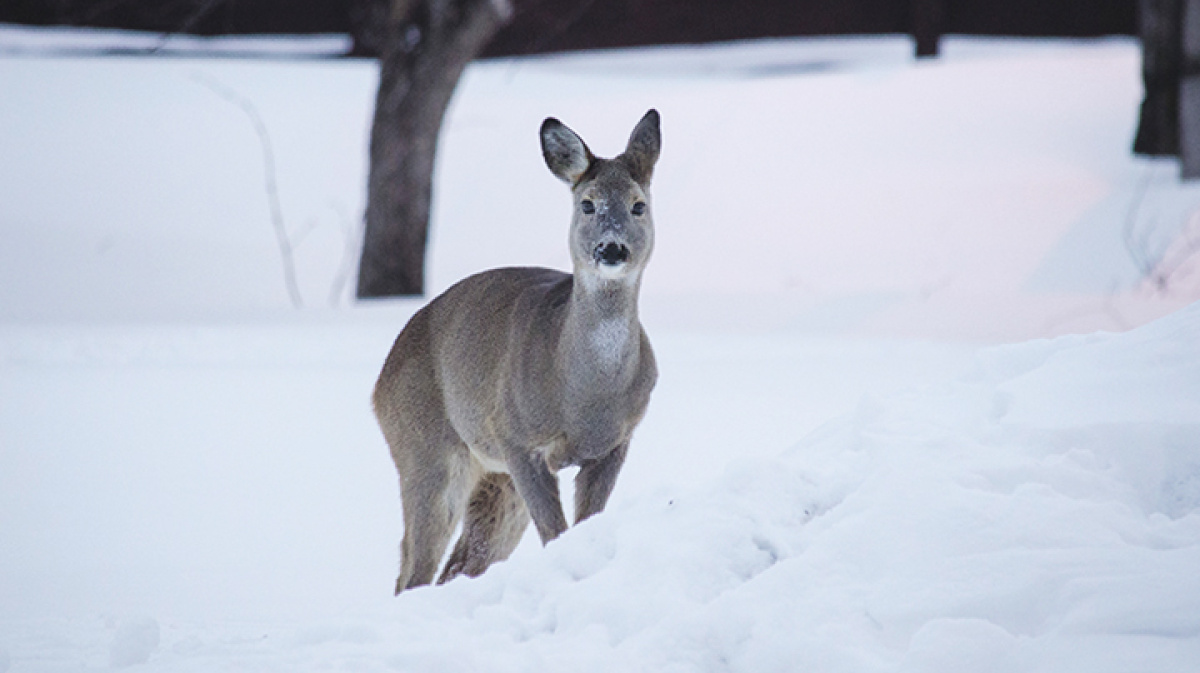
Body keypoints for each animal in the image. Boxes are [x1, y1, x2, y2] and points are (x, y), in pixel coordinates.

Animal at [372, 107, 662, 590]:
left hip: (494, 477)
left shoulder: (615, 443)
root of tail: (379, 384)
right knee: (412, 570)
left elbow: (583, 526)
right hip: (425, 449)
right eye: (588, 204)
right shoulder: (518, 440)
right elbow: (555, 534)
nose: (612, 248)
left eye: (639, 205)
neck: (583, 395)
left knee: (460, 564)